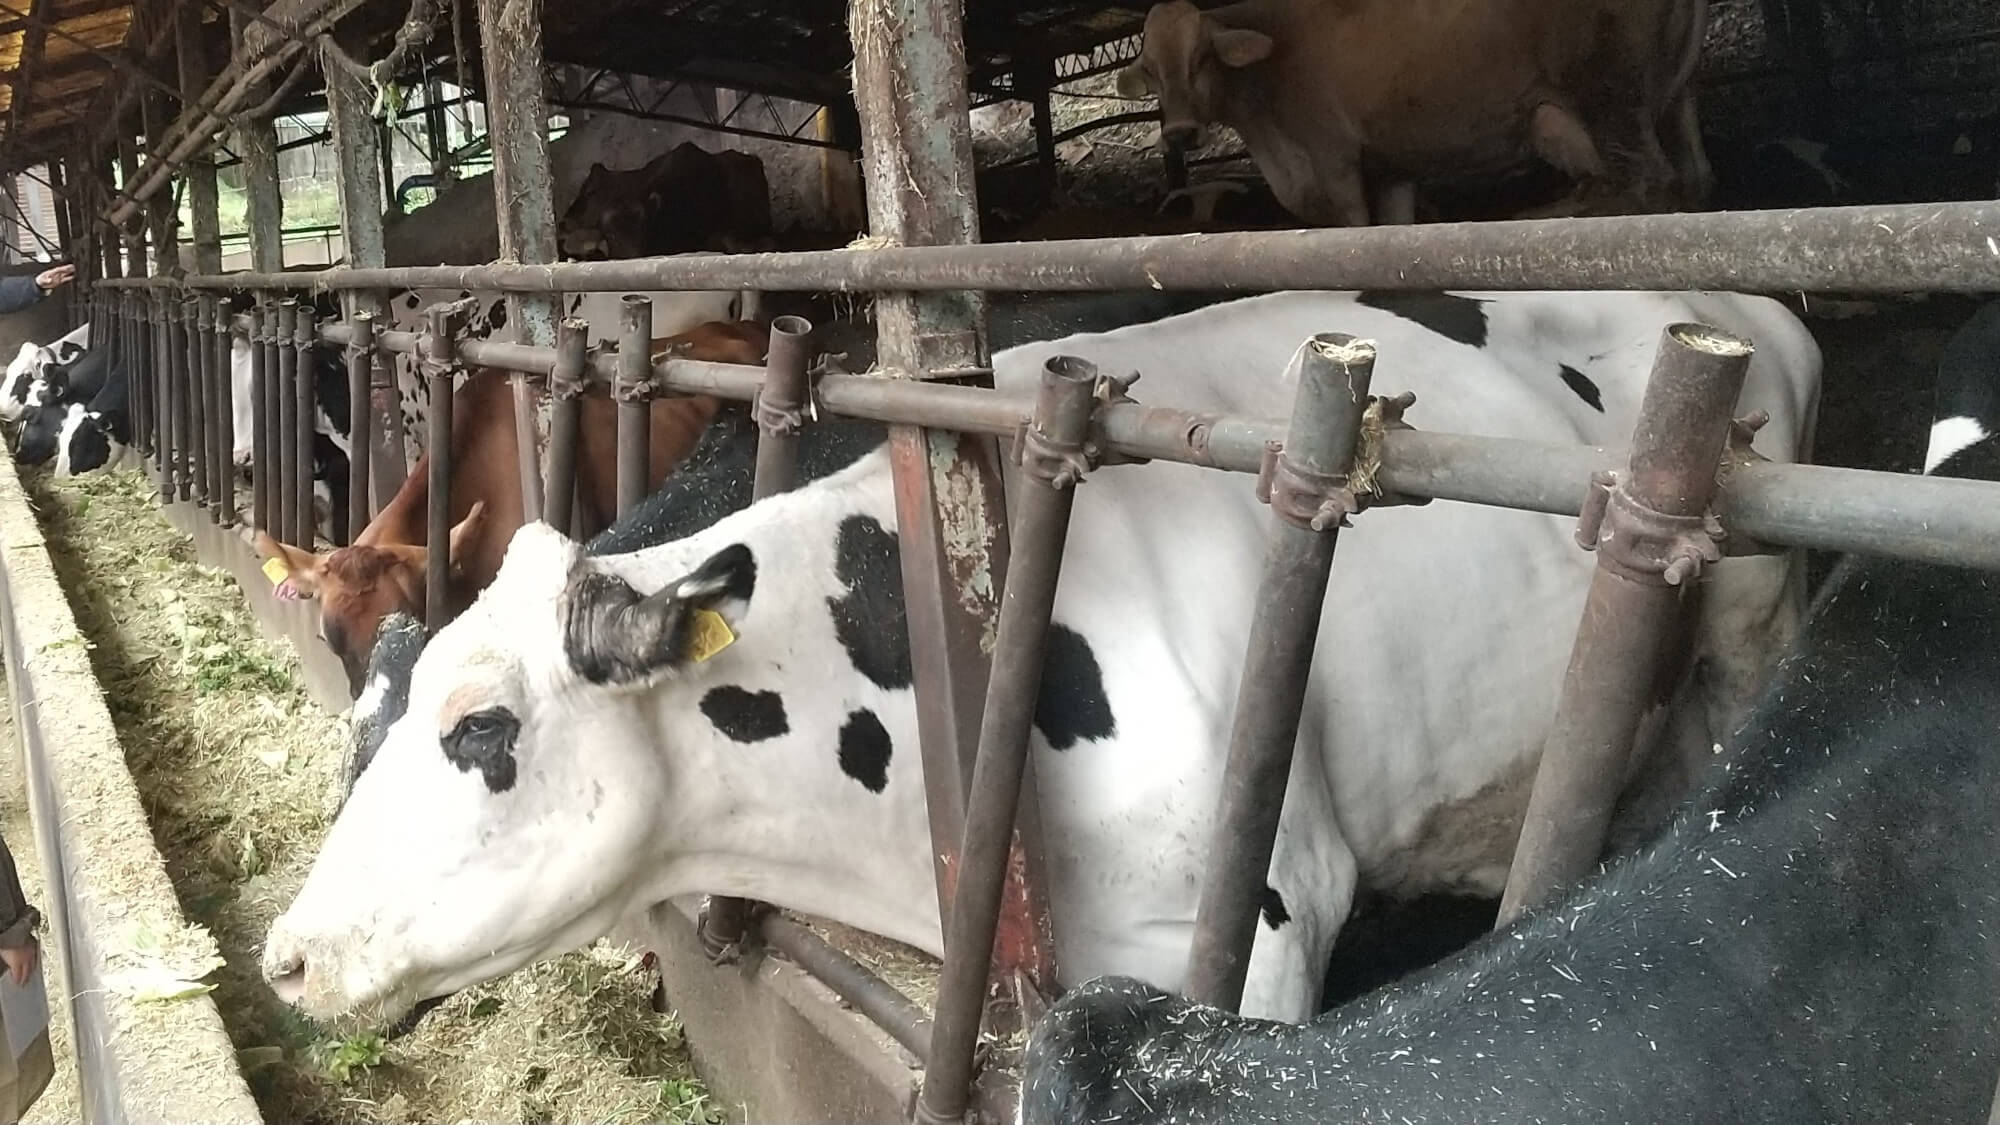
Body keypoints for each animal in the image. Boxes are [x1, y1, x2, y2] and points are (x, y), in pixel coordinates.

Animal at [1120, 0, 1712, 225]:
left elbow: (1353, 229)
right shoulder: (1391, 168)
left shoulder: (1332, 158)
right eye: (1149, 68)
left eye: (1202, 57)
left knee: (1647, 183)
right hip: (1674, 100)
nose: (1180, 132)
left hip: (1610, 100)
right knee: (1694, 177)